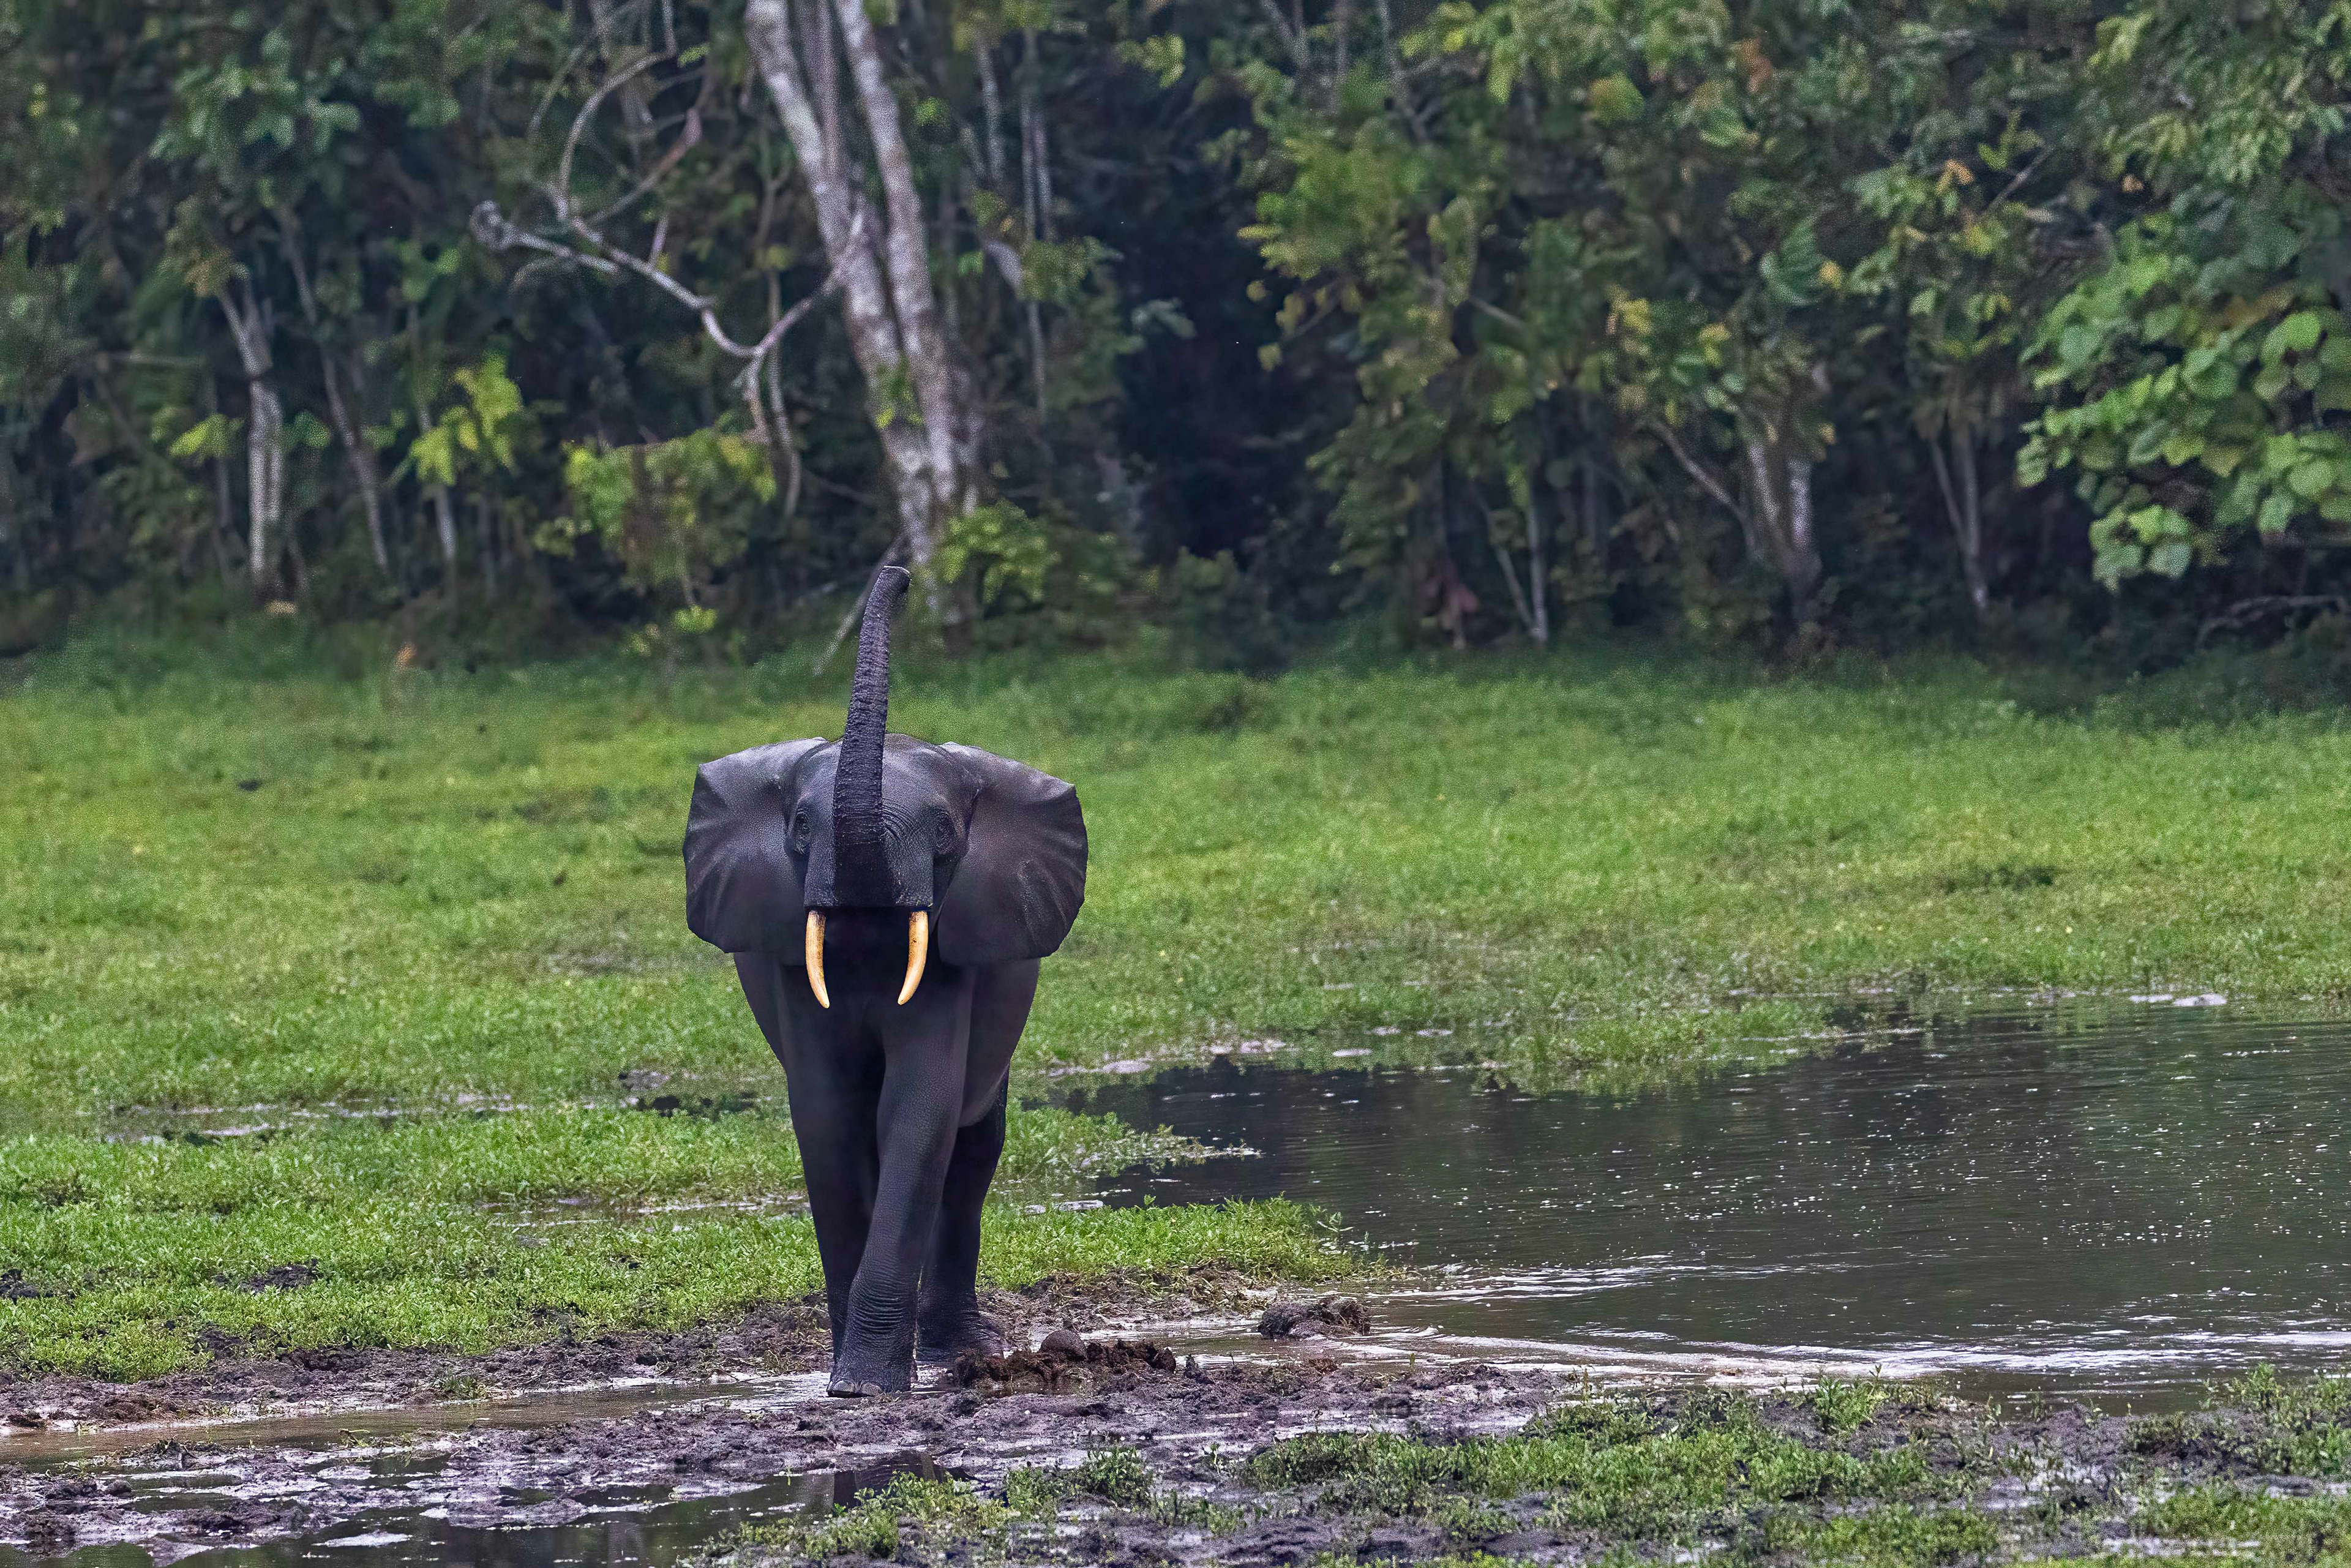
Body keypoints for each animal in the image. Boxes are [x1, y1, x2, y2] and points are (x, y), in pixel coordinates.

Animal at [681, 566, 1086, 1395]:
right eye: (801, 827)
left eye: (944, 833)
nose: (900, 576)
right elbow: (827, 1114)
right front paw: (847, 1381)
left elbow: (920, 1105)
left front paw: (868, 1384)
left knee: (973, 1147)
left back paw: (954, 1353)